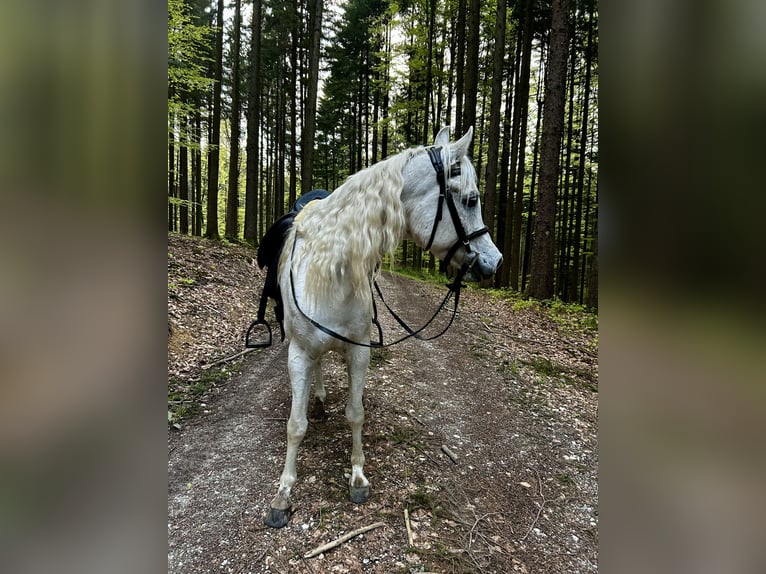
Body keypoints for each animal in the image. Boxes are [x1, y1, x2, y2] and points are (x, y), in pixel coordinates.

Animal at [264, 127, 504, 532]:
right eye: (470, 200)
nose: (494, 261)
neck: (333, 268)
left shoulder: (358, 351)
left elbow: (355, 413)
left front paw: (358, 478)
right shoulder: (298, 352)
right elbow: (295, 425)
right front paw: (283, 494)